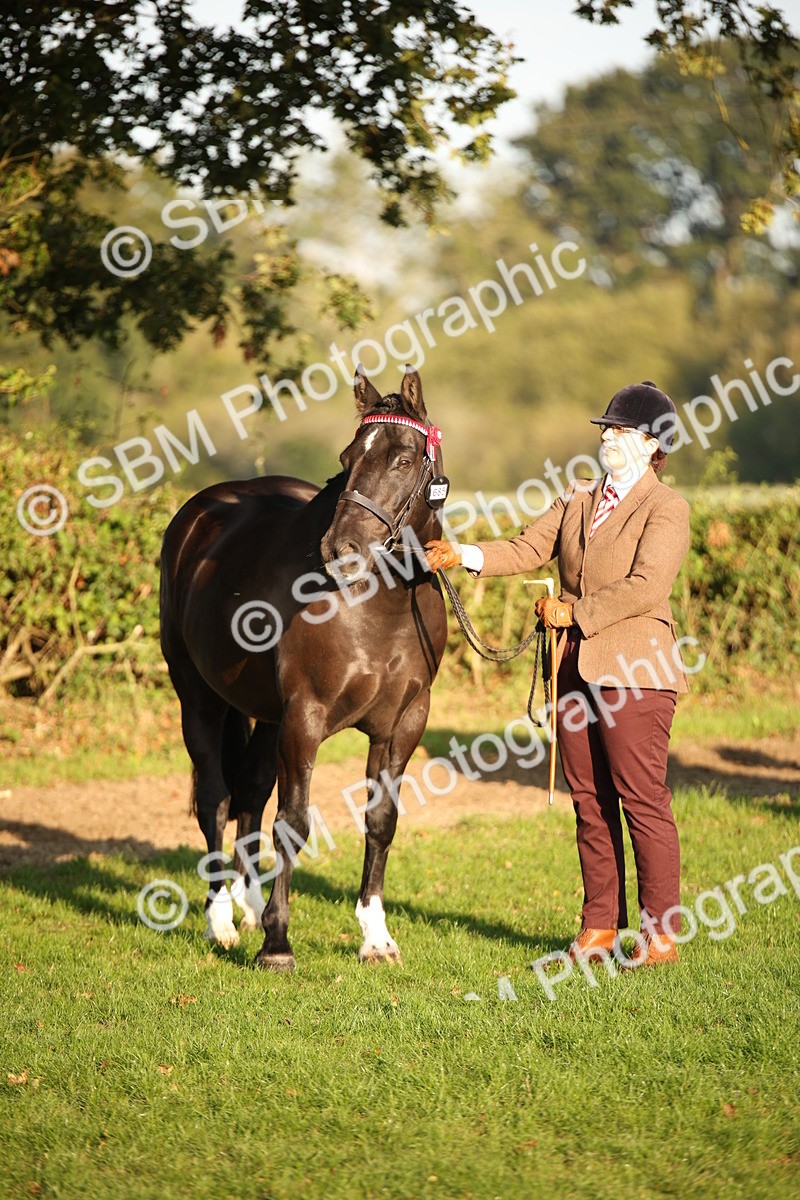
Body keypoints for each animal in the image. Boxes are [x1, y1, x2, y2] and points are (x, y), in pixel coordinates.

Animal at [159, 365, 449, 970]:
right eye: (347, 458)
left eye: (403, 459)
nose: (343, 548)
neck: (377, 609)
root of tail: (199, 513)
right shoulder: (305, 719)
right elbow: (292, 824)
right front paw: (276, 944)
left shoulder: (403, 724)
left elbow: (381, 821)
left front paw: (376, 937)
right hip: (198, 699)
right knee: (216, 799)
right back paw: (222, 921)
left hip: (265, 718)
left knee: (249, 793)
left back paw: (246, 906)